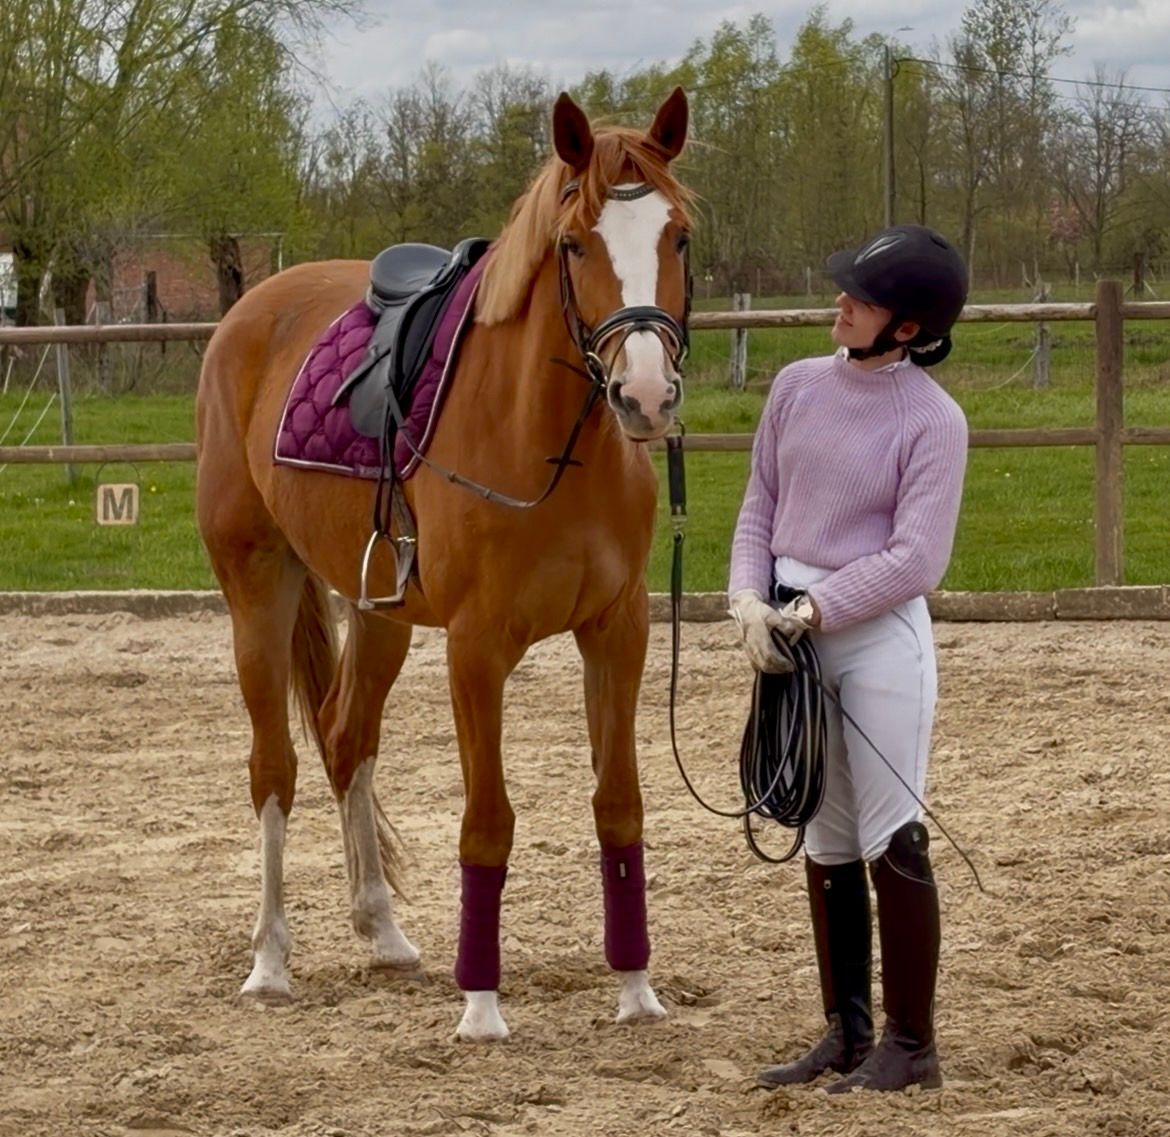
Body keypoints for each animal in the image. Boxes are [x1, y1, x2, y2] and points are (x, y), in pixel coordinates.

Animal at [195, 88, 693, 1041]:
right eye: (575, 243)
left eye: (678, 235)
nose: (645, 396)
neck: (546, 444)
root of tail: (248, 313)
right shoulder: (477, 647)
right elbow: (487, 822)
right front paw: (482, 1006)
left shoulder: (619, 631)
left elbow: (620, 804)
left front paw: (636, 989)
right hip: (257, 589)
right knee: (274, 767)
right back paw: (270, 960)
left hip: (378, 611)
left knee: (347, 741)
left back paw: (382, 930)